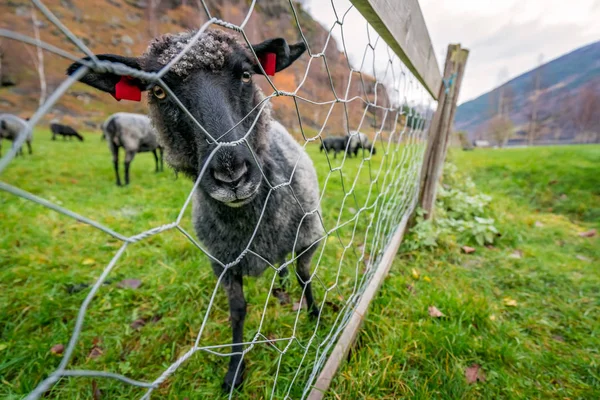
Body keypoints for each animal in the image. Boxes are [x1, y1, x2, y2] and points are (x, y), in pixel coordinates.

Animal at [68, 28, 324, 390]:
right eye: (158, 91)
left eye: (246, 74)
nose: (231, 175)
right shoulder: (223, 262)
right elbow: (237, 310)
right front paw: (235, 368)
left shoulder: (308, 237)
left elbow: (305, 277)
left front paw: (315, 316)